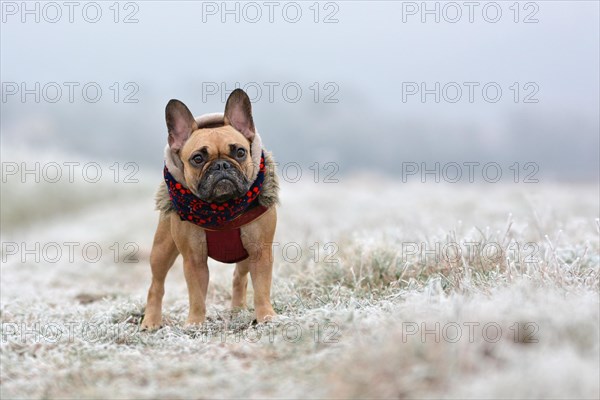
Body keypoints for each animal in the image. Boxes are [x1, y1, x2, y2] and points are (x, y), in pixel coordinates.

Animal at [141, 89, 278, 330]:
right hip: (162, 249)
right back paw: (151, 321)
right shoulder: (194, 259)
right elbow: (196, 295)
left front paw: (266, 317)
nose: (221, 165)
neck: (222, 208)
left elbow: (261, 288)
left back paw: (237, 310)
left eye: (240, 152)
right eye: (198, 158)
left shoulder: (260, 252)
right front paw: (195, 323)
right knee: (156, 285)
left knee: (239, 277)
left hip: (246, 255)